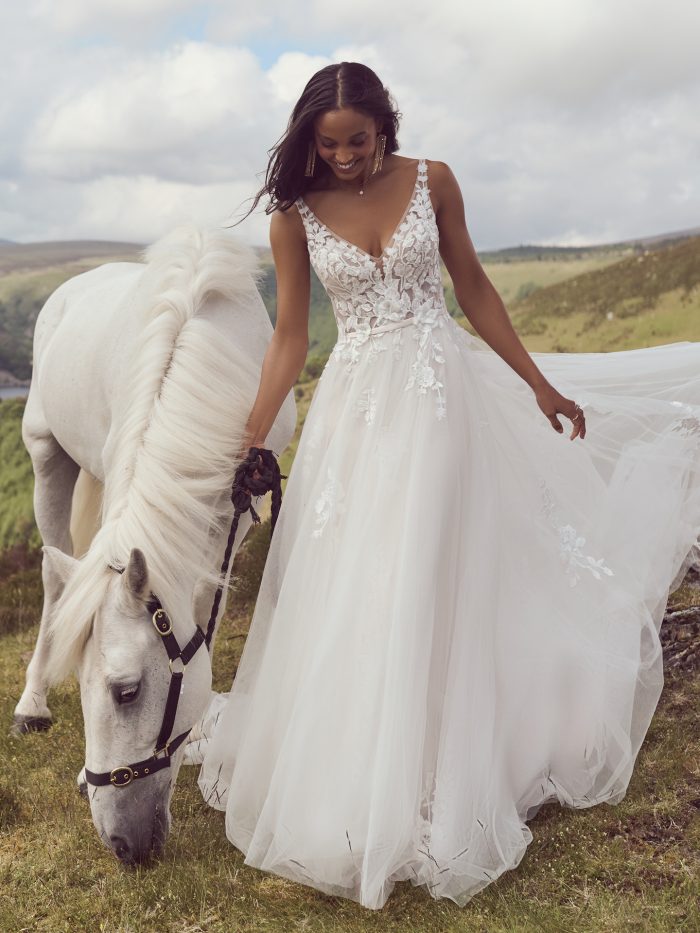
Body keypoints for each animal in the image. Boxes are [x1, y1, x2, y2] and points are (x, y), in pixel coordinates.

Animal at [11, 226, 296, 868]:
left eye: (127, 691)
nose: (120, 843)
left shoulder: (235, 508)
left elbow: (204, 602)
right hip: (47, 455)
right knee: (55, 576)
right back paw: (31, 703)